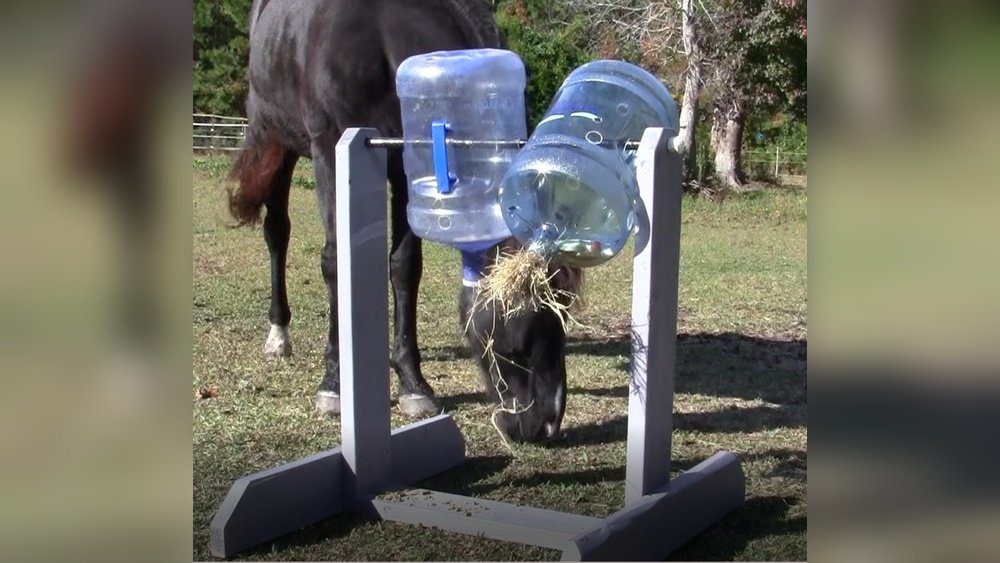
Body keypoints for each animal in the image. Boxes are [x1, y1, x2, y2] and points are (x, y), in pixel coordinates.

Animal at [228, 0, 582, 442]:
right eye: (524, 323)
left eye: (564, 313)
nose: (545, 424)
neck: (379, 32)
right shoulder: (329, 150)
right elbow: (334, 263)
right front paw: (334, 383)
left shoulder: (404, 165)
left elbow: (404, 267)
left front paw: (413, 383)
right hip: (278, 140)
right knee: (277, 233)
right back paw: (278, 335)